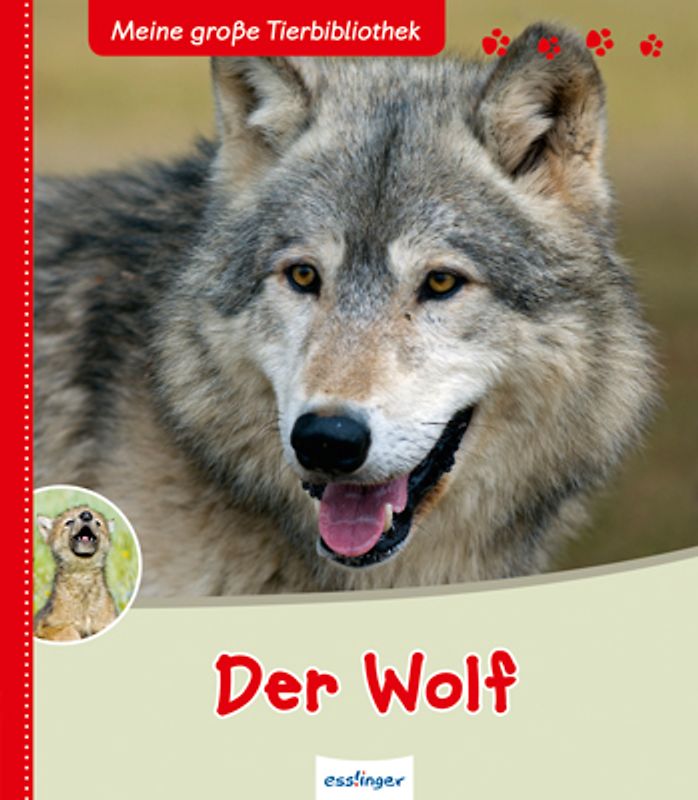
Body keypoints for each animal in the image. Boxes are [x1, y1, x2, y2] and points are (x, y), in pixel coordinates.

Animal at [34, 506, 117, 640]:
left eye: (98, 523)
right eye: (69, 522)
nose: (86, 515)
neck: (82, 575)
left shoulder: (106, 623)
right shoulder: (43, 628)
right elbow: (69, 630)